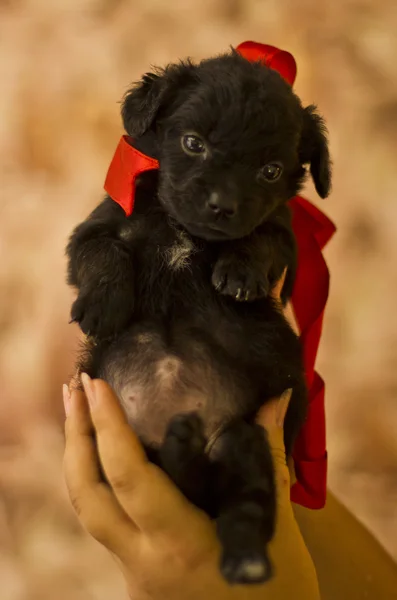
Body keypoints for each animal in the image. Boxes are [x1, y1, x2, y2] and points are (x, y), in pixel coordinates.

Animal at [66, 50, 330, 584]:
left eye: (271, 171)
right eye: (193, 143)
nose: (222, 206)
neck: (184, 231)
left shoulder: (283, 238)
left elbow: (260, 239)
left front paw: (240, 274)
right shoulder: (93, 231)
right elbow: (103, 253)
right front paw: (104, 304)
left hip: (243, 441)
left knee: (236, 501)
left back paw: (245, 557)